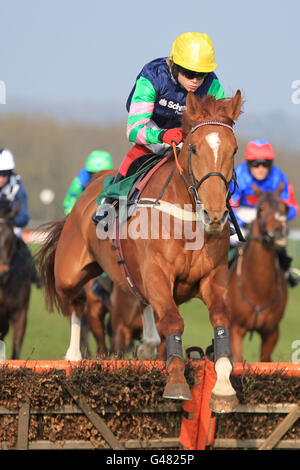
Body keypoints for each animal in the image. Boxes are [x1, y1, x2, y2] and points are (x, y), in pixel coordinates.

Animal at [38, 91, 241, 412]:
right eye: (194, 148)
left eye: (233, 151)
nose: (215, 214)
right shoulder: (156, 271)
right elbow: (173, 321)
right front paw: (176, 381)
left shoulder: (212, 277)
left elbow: (221, 320)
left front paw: (223, 387)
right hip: (69, 273)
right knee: (77, 301)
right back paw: (74, 356)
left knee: (140, 302)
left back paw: (145, 343)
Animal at [229, 183, 290, 360]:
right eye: (261, 207)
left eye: (285, 207)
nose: (279, 230)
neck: (258, 288)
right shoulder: (235, 329)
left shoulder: (271, 332)